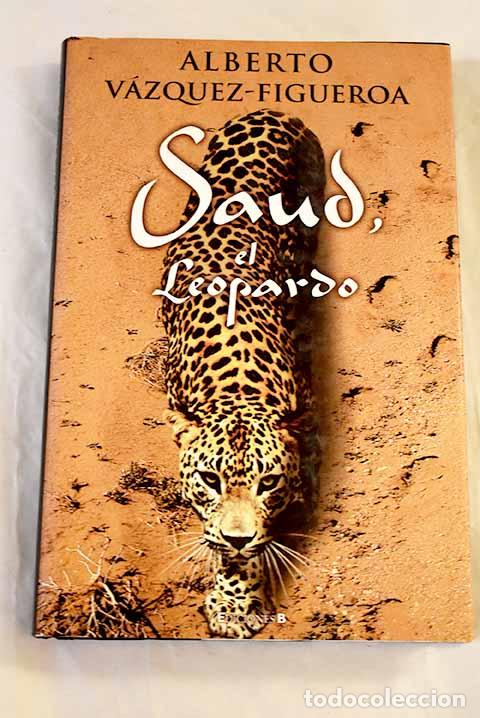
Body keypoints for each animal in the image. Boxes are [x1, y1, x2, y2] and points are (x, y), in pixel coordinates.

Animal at [161, 109, 325, 638]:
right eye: (209, 480)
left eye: (269, 483)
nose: (239, 539)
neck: (238, 388)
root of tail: (272, 112)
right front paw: (232, 598)